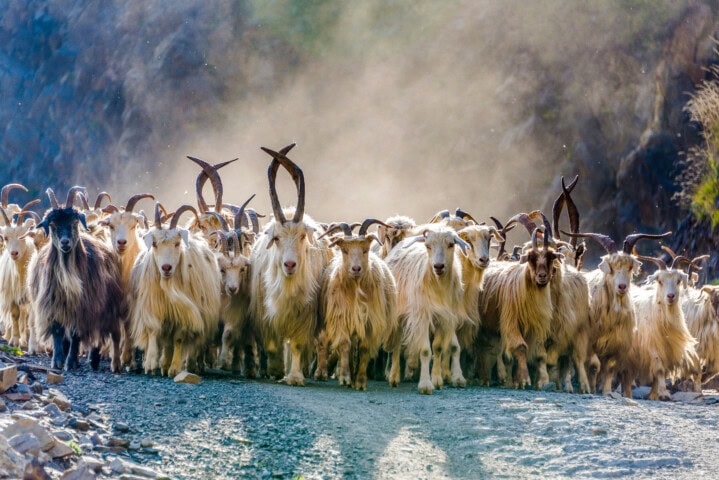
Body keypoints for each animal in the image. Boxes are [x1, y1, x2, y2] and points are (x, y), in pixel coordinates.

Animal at [29, 187, 127, 372]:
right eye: (52, 225)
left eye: (74, 223)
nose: (65, 242)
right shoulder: (54, 304)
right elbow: (58, 331)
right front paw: (57, 360)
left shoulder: (83, 308)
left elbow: (75, 334)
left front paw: (71, 362)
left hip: (105, 308)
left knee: (98, 334)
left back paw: (93, 360)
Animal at [130, 203, 221, 377]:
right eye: (154, 244)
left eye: (177, 243)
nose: (166, 267)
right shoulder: (152, 306)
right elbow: (153, 331)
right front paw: (150, 364)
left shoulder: (184, 312)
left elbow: (178, 339)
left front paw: (174, 368)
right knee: (166, 341)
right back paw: (163, 364)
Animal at [249, 144, 330, 385]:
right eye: (276, 238)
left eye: (303, 236)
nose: (290, 265)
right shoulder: (264, 314)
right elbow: (271, 345)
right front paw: (275, 370)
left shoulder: (305, 315)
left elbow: (296, 344)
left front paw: (295, 377)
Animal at [385, 223, 470, 394]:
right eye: (428, 246)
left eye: (451, 244)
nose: (438, 266)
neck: (438, 285)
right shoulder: (422, 316)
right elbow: (425, 351)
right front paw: (425, 384)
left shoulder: (445, 318)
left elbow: (438, 348)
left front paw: (437, 380)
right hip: (398, 315)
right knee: (396, 344)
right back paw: (394, 377)